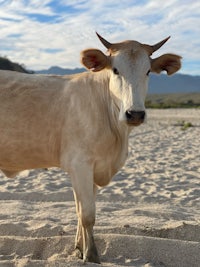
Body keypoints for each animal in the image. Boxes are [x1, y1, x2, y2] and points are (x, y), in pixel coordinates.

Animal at [0, 33, 181, 264]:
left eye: (148, 71)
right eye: (115, 70)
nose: (135, 114)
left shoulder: (94, 168)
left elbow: (80, 211)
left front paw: (78, 248)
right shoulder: (80, 164)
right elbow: (87, 214)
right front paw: (91, 254)